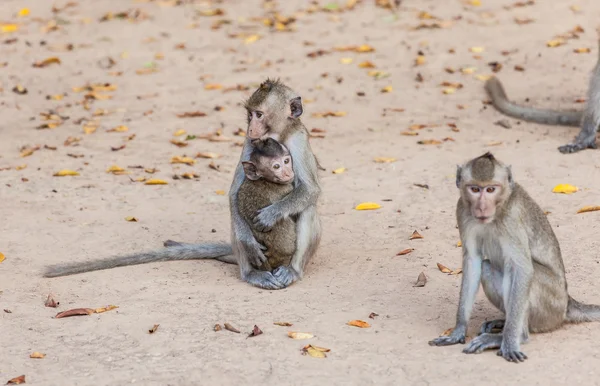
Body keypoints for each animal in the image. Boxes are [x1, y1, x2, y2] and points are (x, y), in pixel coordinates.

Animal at [45, 79, 324, 290]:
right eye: (250, 115)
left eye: (259, 115)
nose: (252, 127)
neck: (278, 135)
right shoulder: (250, 142)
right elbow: (234, 193)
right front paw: (248, 240)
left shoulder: (297, 140)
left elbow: (310, 190)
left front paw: (271, 214)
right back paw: (251, 273)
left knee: (307, 209)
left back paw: (292, 271)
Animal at [428, 153, 600, 362]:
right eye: (475, 189)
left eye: (491, 189)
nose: (482, 207)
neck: (499, 208)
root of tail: (567, 303)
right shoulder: (462, 210)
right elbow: (473, 262)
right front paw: (458, 330)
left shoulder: (511, 220)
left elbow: (522, 268)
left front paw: (509, 342)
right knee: (487, 267)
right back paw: (502, 323)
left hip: (552, 305)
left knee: (517, 272)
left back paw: (513, 336)